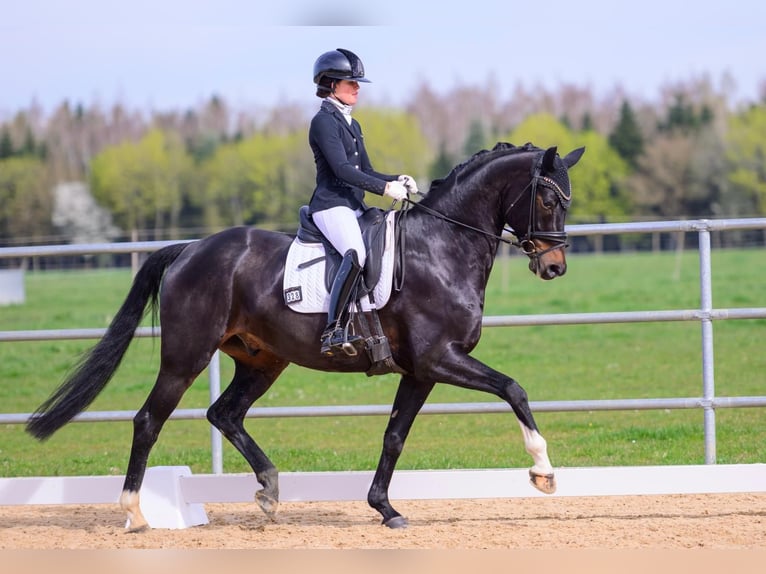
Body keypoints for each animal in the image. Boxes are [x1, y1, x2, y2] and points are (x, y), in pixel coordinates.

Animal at [27, 142, 585, 530]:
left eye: (567, 200)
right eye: (546, 198)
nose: (555, 266)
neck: (442, 247)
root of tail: (190, 249)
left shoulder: (420, 371)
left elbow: (394, 437)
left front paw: (385, 508)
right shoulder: (438, 359)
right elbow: (514, 388)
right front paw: (543, 473)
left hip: (262, 360)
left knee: (224, 413)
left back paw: (270, 491)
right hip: (186, 357)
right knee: (148, 420)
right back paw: (135, 514)